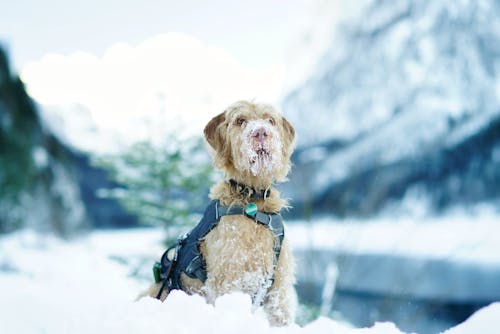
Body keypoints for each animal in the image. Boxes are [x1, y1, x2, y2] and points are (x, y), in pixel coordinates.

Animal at [146, 100, 298, 326]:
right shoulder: (228, 279)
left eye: (270, 120)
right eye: (240, 120)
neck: (252, 201)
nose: (261, 132)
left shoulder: (278, 283)